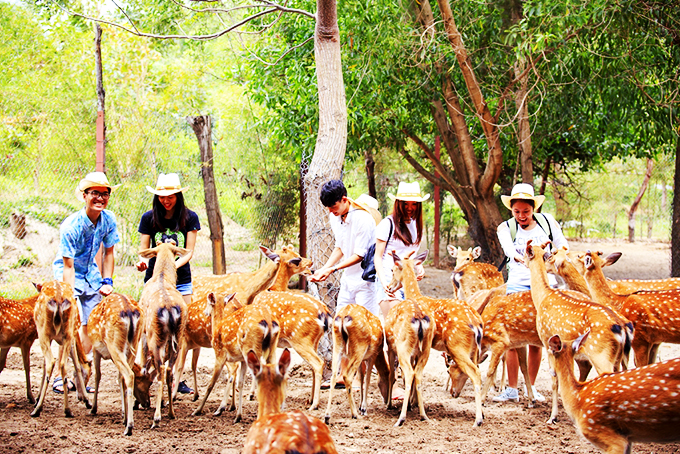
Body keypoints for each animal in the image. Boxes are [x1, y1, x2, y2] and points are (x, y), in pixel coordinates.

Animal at [30, 280, 92, 418]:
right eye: (90, 374)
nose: (80, 397)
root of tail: (58, 299)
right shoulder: (71, 335)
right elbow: (77, 366)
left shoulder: (67, 336)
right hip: (65, 334)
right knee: (62, 363)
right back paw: (67, 409)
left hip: (44, 332)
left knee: (52, 362)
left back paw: (39, 409)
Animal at [137, 243, 189, 428]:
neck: (162, 276)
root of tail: (169, 309)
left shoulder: (144, 333)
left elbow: (143, 364)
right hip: (178, 339)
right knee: (169, 371)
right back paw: (171, 412)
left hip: (156, 338)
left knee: (159, 370)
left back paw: (157, 417)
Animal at [190, 290, 278, 422]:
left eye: (208, 302)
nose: (205, 312)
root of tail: (267, 322)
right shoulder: (242, 360)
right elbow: (240, 382)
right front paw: (237, 415)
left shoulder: (219, 354)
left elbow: (211, 384)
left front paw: (197, 410)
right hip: (271, 349)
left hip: (251, 348)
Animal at [388, 252, 484, 426]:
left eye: (392, 269)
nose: (390, 287)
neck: (415, 295)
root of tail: (476, 324)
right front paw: (414, 405)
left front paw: (412, 405)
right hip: (473, 350)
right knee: (477, 370)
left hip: (457, 345)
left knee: (474, 373)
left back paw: (478, 420)